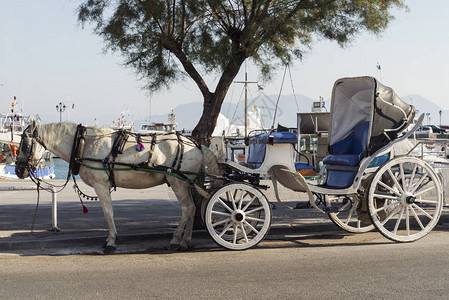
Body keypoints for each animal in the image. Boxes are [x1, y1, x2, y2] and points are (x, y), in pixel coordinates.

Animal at [15, 120, 222, 254]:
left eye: (24, 144)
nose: (18, 170)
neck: (84, 143)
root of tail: (196, 145)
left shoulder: (101, 185)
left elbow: (108, 213)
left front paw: (111, 242)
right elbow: (109, 213)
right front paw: (110, 239)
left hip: (178, 182)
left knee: (187, 208)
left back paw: (175, 240)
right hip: (185, 183)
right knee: (193, 209)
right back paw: (185, 241)